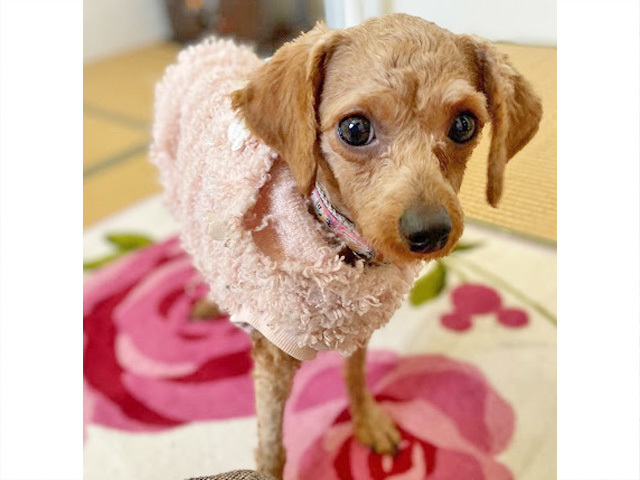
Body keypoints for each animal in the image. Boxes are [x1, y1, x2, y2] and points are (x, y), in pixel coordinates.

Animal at [151, 13, 541, 479]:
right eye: (354, 128)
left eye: (464, 124)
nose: (429, 233)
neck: (340, 244)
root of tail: (206, 46)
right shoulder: (275, 361)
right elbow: (272, 449)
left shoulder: (357, 322)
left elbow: (355, 375)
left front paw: (366, 420)